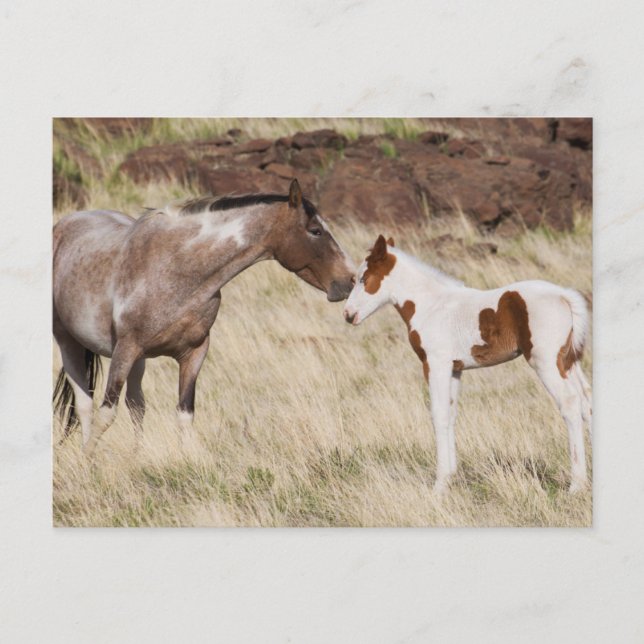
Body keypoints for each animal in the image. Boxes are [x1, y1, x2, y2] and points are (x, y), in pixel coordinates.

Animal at [53, 179, 356, 456]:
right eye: (315, 231)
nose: (351, 280)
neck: (177, 269)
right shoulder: (125, 350)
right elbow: (106, 413)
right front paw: (88, 460)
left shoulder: (193, 353)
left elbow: (184, 414)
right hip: (70, 343)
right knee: (85, 404)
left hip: (139, 360)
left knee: (136, 404)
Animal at [343, 234, 592, 494]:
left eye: (363, 279)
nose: (348, 314)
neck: (429, 306)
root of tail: (564, 295)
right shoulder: (455, 369)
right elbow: (451, 413)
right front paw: (451, 477)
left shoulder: (436, 363)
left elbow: (439, 414)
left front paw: (440, 484)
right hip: (568, 361)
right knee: (587, 401)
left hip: (545, 361)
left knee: (570, 403)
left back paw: (576, 484)